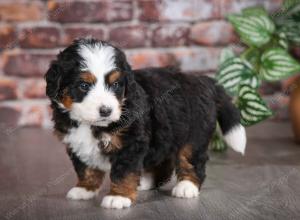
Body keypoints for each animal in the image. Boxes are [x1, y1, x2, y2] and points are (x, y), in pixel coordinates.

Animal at [44, 38, 246, 210]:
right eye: (83, 85)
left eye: (116, 84)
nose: (106, 111)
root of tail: (204, 81)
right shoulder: (76, 143)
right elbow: (86, 168)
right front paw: (84, 189)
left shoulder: (131, 143)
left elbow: (123, 171)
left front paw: (118, 196)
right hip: (166, 133)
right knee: (163, 160)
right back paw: (147, 181)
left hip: (194, 134)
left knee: (192, 160)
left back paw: (187, 186)